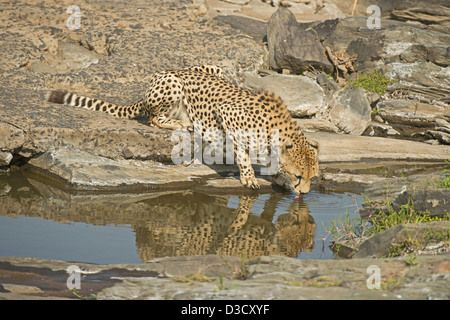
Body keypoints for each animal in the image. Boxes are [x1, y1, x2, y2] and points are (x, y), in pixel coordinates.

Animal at [47, 65, 318, 192]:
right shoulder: (227, 114)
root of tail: (176, 68)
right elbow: (241, 153)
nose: (304, 193)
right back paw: (182, 123)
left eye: (312, 178)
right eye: (298, 176)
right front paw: (249, 177)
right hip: (173, 84)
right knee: (152, 117)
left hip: (215, 68)